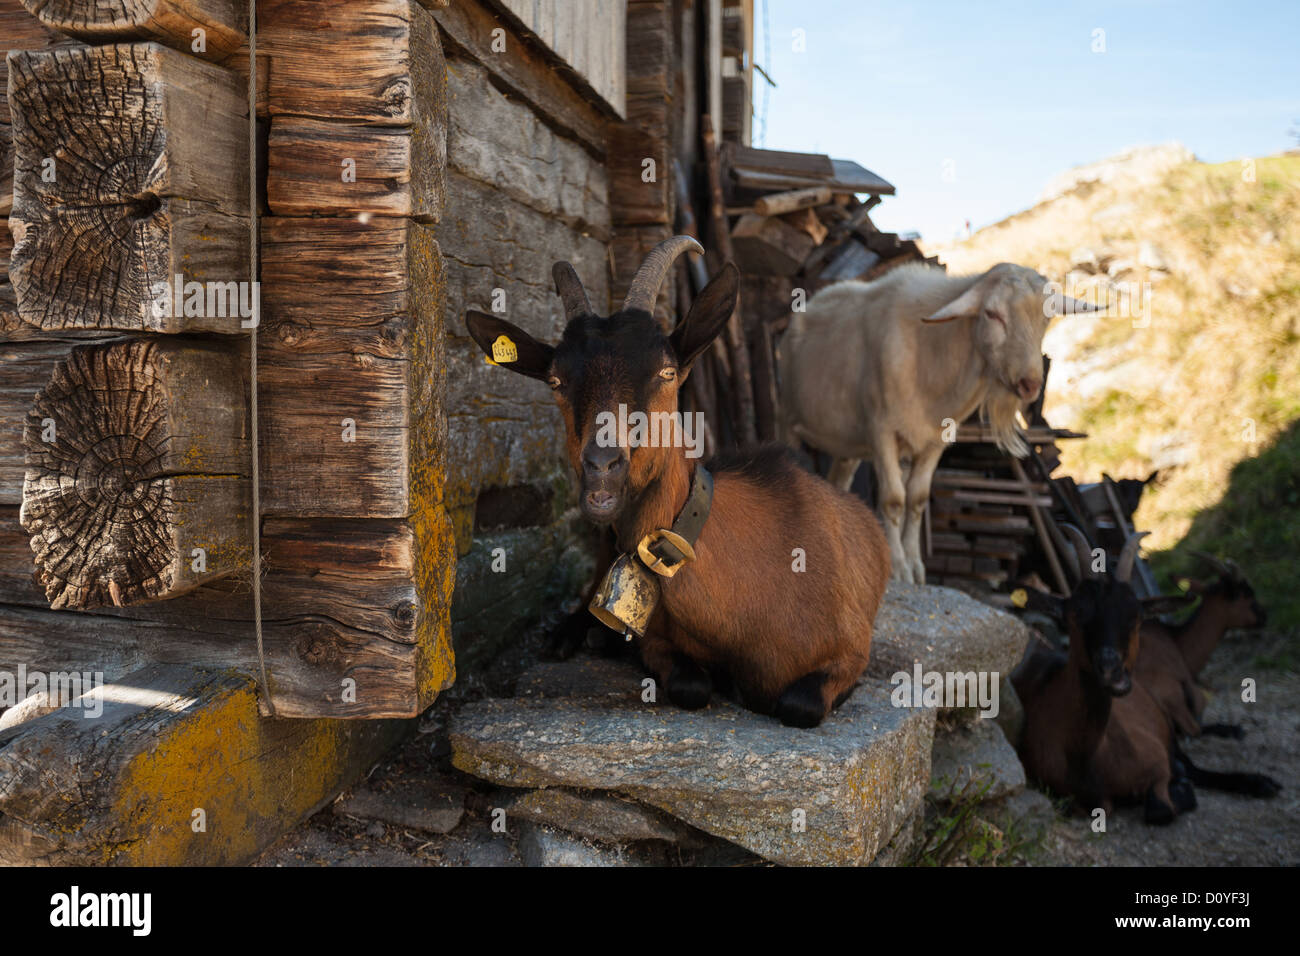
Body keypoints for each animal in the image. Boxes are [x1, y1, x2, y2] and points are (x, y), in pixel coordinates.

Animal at [467, 238, 894, 723]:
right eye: (555, 380)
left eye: (666, 372)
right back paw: (571, 635)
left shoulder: (851, 651)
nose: (602, 466)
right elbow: (690, 686)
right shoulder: (658, 641)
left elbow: (798, 705)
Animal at [774, 261, 1102, 582]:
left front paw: (916, 567)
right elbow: (894, 499)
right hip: (788, 418)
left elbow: (917, 500)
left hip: (848, 446)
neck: (931, 355)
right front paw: (898, 568)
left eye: (1046, 318)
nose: (1029, 385)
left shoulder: (935, 441)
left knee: (839, 483)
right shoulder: (881, 432)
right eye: (992, 314)